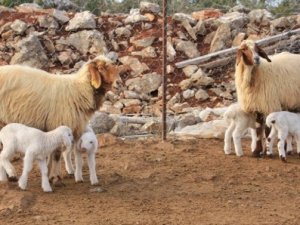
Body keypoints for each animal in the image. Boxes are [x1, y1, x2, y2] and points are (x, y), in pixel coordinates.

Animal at [0, 55, 124, 185]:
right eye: (101, 68)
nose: (119, 82)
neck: (79, 91)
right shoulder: (59, 125)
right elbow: (56, 154)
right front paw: (55, 177)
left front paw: (50, 174)